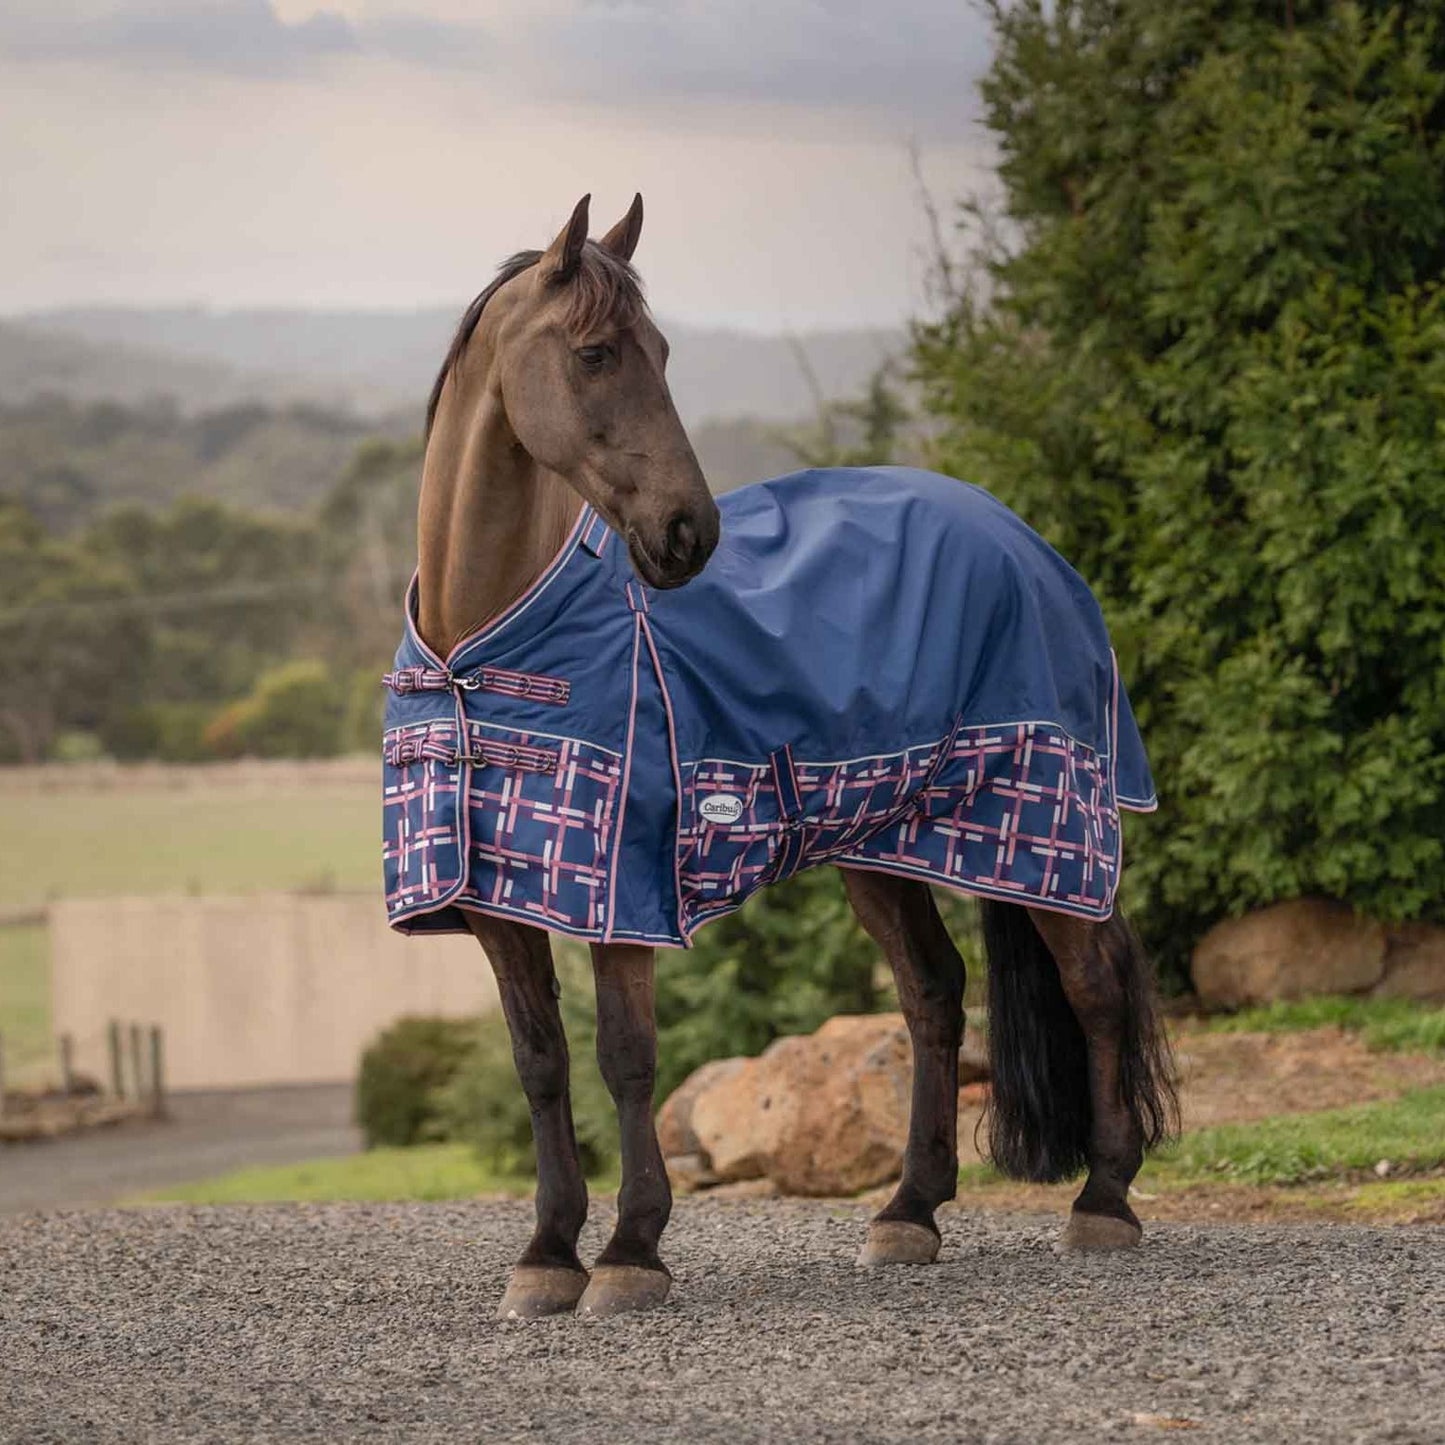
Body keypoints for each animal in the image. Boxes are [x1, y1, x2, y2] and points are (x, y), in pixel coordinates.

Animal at [382, 194, 1177, 1320]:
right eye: (595, 352)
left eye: (664, 351)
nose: (689, 532)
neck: (481, 648)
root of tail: (1025, 541)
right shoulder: (500, 900)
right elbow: (540, 1061)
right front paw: (546, 1251)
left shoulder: (622, 890)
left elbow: (627, 1056)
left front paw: (630, 1249)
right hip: (886, 841)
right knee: (932, 993)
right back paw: (909, 1210)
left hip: (1044, 819)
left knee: (1097, 983)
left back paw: (1102, 1197)